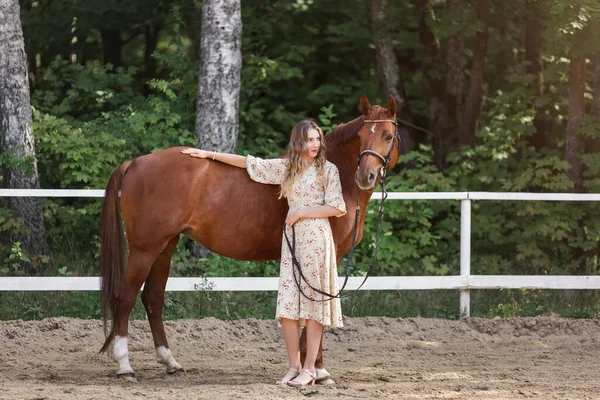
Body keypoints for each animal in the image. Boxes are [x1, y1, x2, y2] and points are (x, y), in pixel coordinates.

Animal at [99, 95, 404, 376]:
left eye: (388, 136)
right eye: (361, 136)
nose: (366, 176)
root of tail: (134, 163)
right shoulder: (332, 256)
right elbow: (319, 305)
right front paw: (317, 370)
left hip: (164, 247)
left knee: (153, 299)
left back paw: (170, 361)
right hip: (145, 249)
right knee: (125, 296)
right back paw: (124, 364)